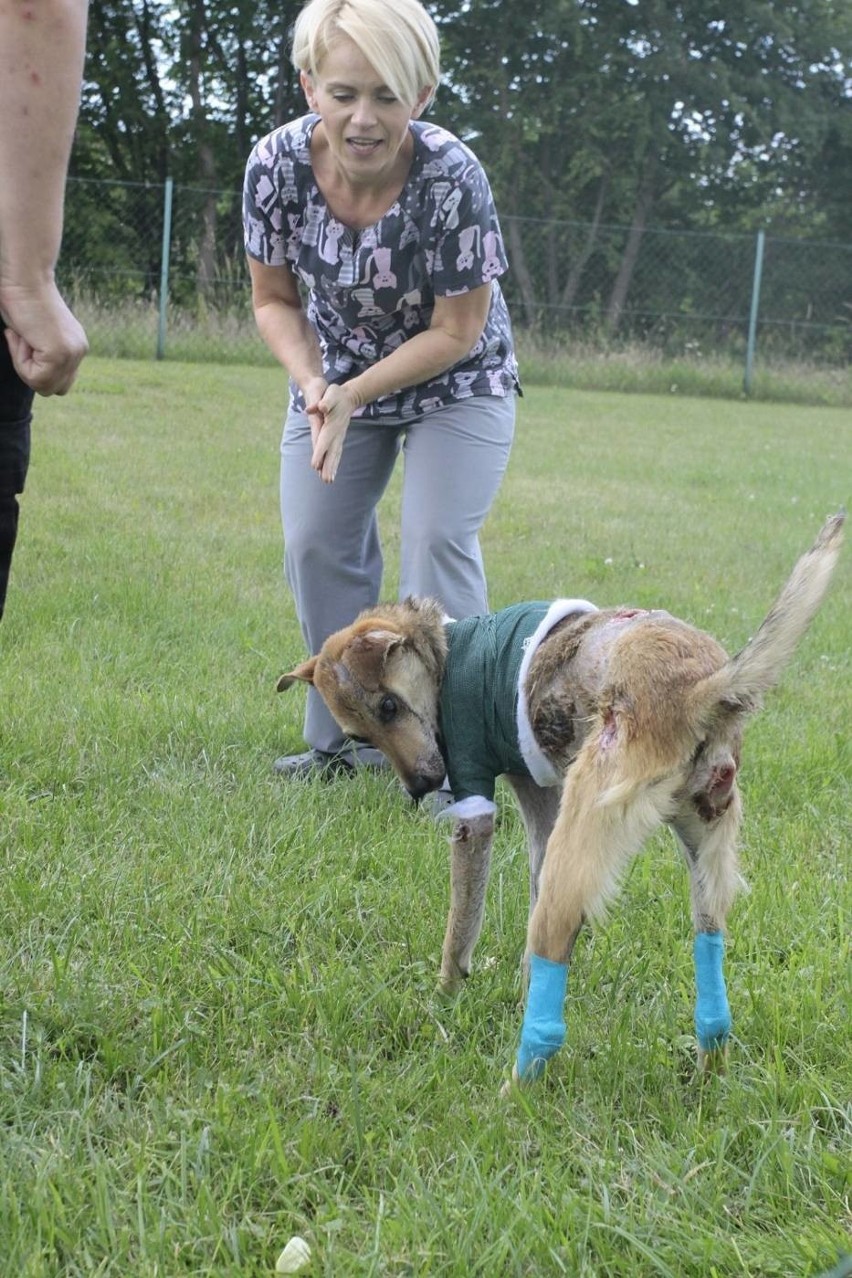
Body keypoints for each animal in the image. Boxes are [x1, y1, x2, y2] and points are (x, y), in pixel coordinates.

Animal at [279, 513, 848, 1083]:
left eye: (389, 706)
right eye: (362, 736)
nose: (419, 790)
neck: (446, 650)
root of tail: (699, 690)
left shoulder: (475, 809)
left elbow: (460, 925)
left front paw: (446, 995)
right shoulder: (541, 809)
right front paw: (509, 986)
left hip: (579, 845)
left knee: (554, 956)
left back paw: (518, 1085)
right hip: (702, 859)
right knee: (706, 964)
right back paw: (708, 1067)